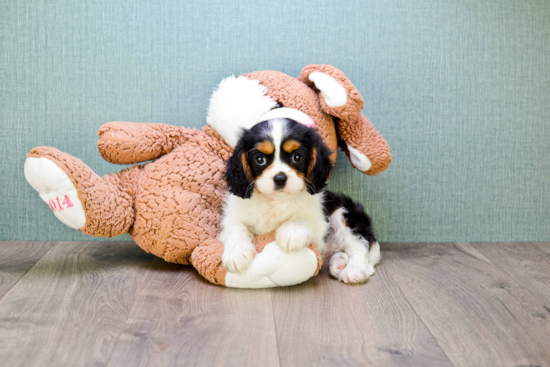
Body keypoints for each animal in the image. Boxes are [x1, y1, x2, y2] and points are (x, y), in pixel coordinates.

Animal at [222, 118, 382, 284]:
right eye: (260, 159)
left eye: (296, 157)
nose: (280, 178)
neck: (275, 200)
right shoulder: (233, 215)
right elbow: (237, 227)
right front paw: (236, 253)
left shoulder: (318, 221)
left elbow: (302, 217)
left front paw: (291, 231)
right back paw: (338, 263)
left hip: (344, 214)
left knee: (361, 252)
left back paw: (354, 269)